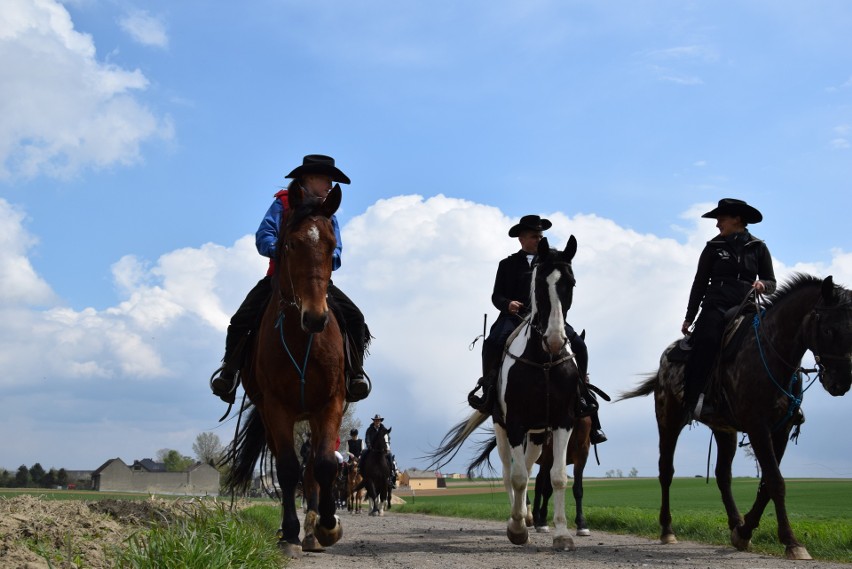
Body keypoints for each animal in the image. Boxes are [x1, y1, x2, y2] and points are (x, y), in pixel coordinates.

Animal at [226, 185, 350, 556]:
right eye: (292, 244)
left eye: (330, 244)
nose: (316, 316)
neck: (301, 336)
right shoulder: (276, 408)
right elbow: (287, 469)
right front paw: (290, 534)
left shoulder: (330, 404)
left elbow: (322, 466)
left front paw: (327, 527)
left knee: (312, 472)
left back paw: (313, 532)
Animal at [430, 235, 584, 552]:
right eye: (539, 285)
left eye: (571, 283)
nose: (554, 340)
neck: (544, 360)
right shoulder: (513, 423)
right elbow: (517, 477)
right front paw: (516, 529)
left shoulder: (563, 421)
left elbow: (558, 477)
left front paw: (562, 534)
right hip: (502, 428)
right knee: (507, 472)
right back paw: (518, 518)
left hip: (537, 433)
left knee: (528, 464)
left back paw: (527, 514)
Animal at [620, 276, 852, 560]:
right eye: (829, 330)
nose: (842, 382)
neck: (770, 353)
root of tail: (666, 358)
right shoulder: (758, 427)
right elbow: (776, 481)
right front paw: (791, 542)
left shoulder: (781, 430)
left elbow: (766, 484)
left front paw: (744, 532)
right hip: (668, 421)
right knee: (666, 471)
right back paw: (667, 529)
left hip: (724, 430)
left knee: (722, 475)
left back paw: (735, 522)